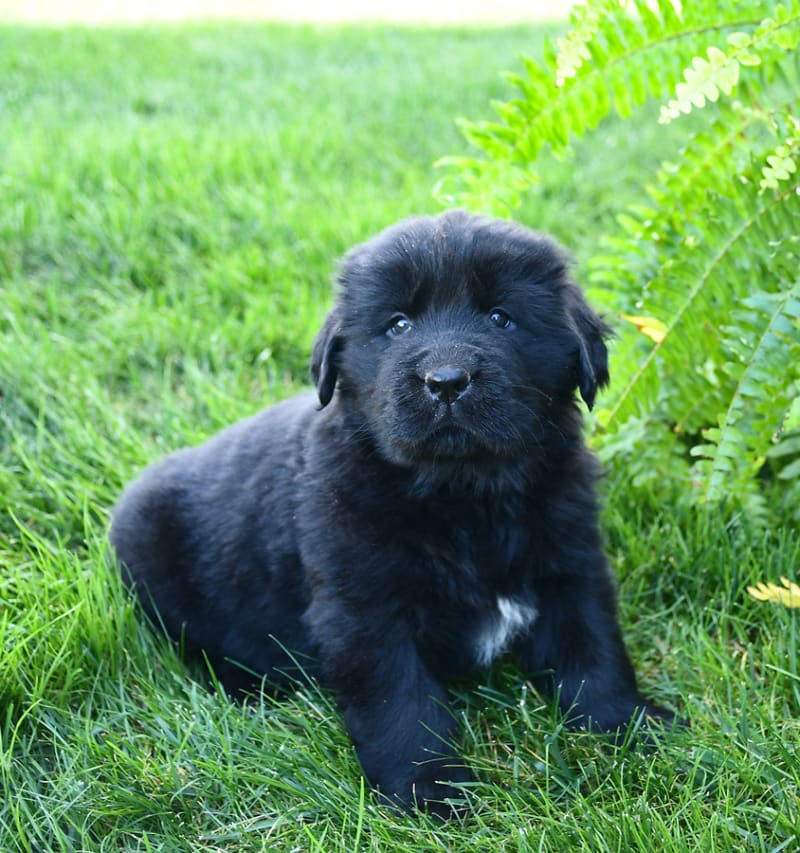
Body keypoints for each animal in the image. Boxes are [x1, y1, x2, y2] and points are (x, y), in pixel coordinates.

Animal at [111, 210, 676, 816]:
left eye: (501, 318)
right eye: (399, 325)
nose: (446, 381)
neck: (464, 495)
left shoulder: (569, 566)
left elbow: (592, 650)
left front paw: (630, 728)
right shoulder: (364, 609)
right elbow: (401, 702)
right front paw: (429, 793)